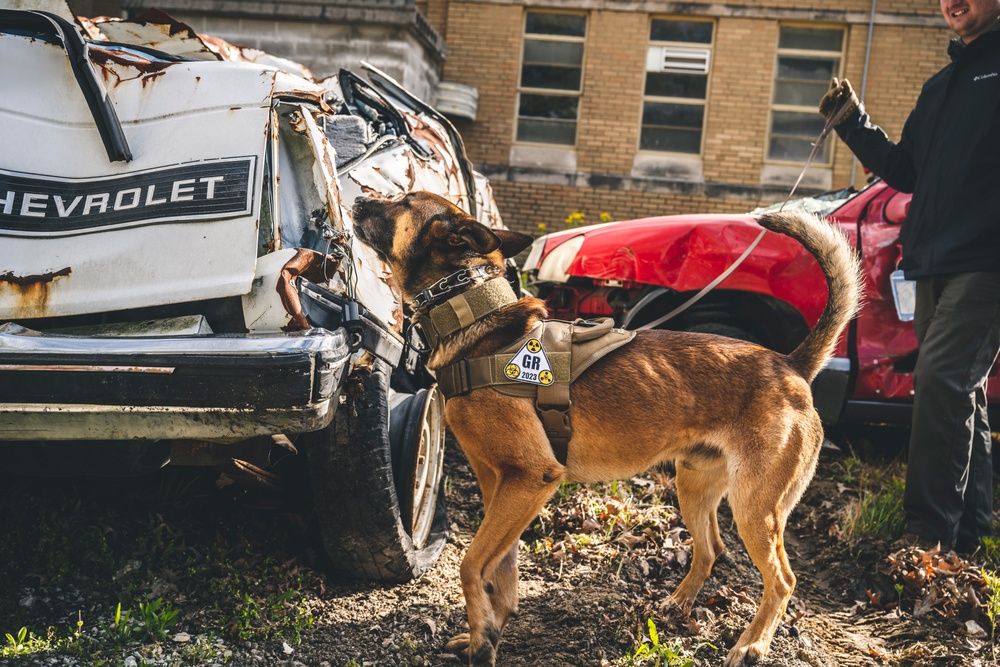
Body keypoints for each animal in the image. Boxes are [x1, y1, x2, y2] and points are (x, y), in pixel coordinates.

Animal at [350, 190, 860, 664]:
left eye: (402, 201)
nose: (355, 199)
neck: (478, 322)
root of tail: (790, 364)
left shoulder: (530, 478)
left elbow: (472, 564)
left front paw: (482, 645)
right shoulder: (503, 485)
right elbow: (501, 570)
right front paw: (491, 629)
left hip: (754, 507)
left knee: (783, 579)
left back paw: (752, 643)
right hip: (694, 487)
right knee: (711, 548)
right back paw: (677, 604)